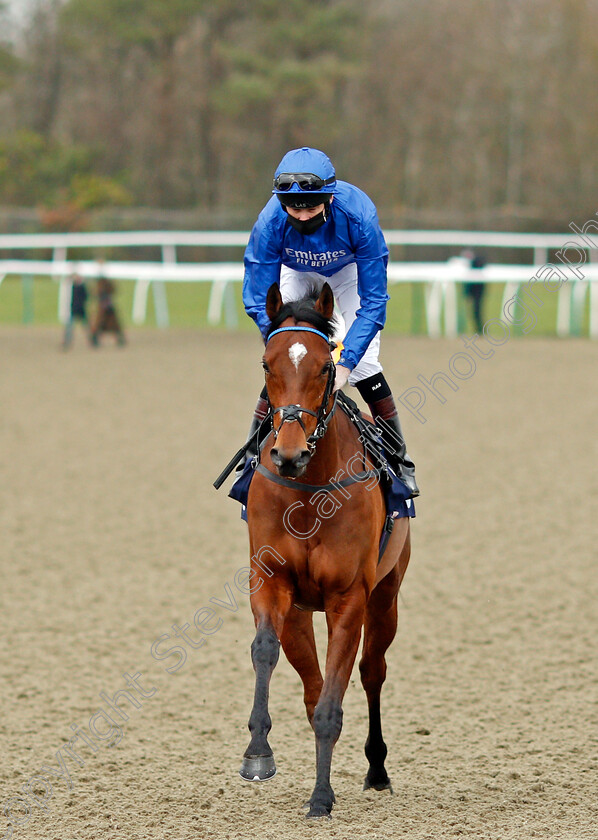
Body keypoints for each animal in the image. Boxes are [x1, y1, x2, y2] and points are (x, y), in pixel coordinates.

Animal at [239, 286, 412, 816]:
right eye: (266, 363)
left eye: (323, 367)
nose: (288, 454)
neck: (309, 490)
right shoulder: (271, 582)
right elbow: (265, 651)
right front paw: (258, 752)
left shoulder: (348, 598)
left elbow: (336, 699)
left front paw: (321, 795)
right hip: (300, 612)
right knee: (312, 684)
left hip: (386, 595)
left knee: (372, 672)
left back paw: (376, 769)